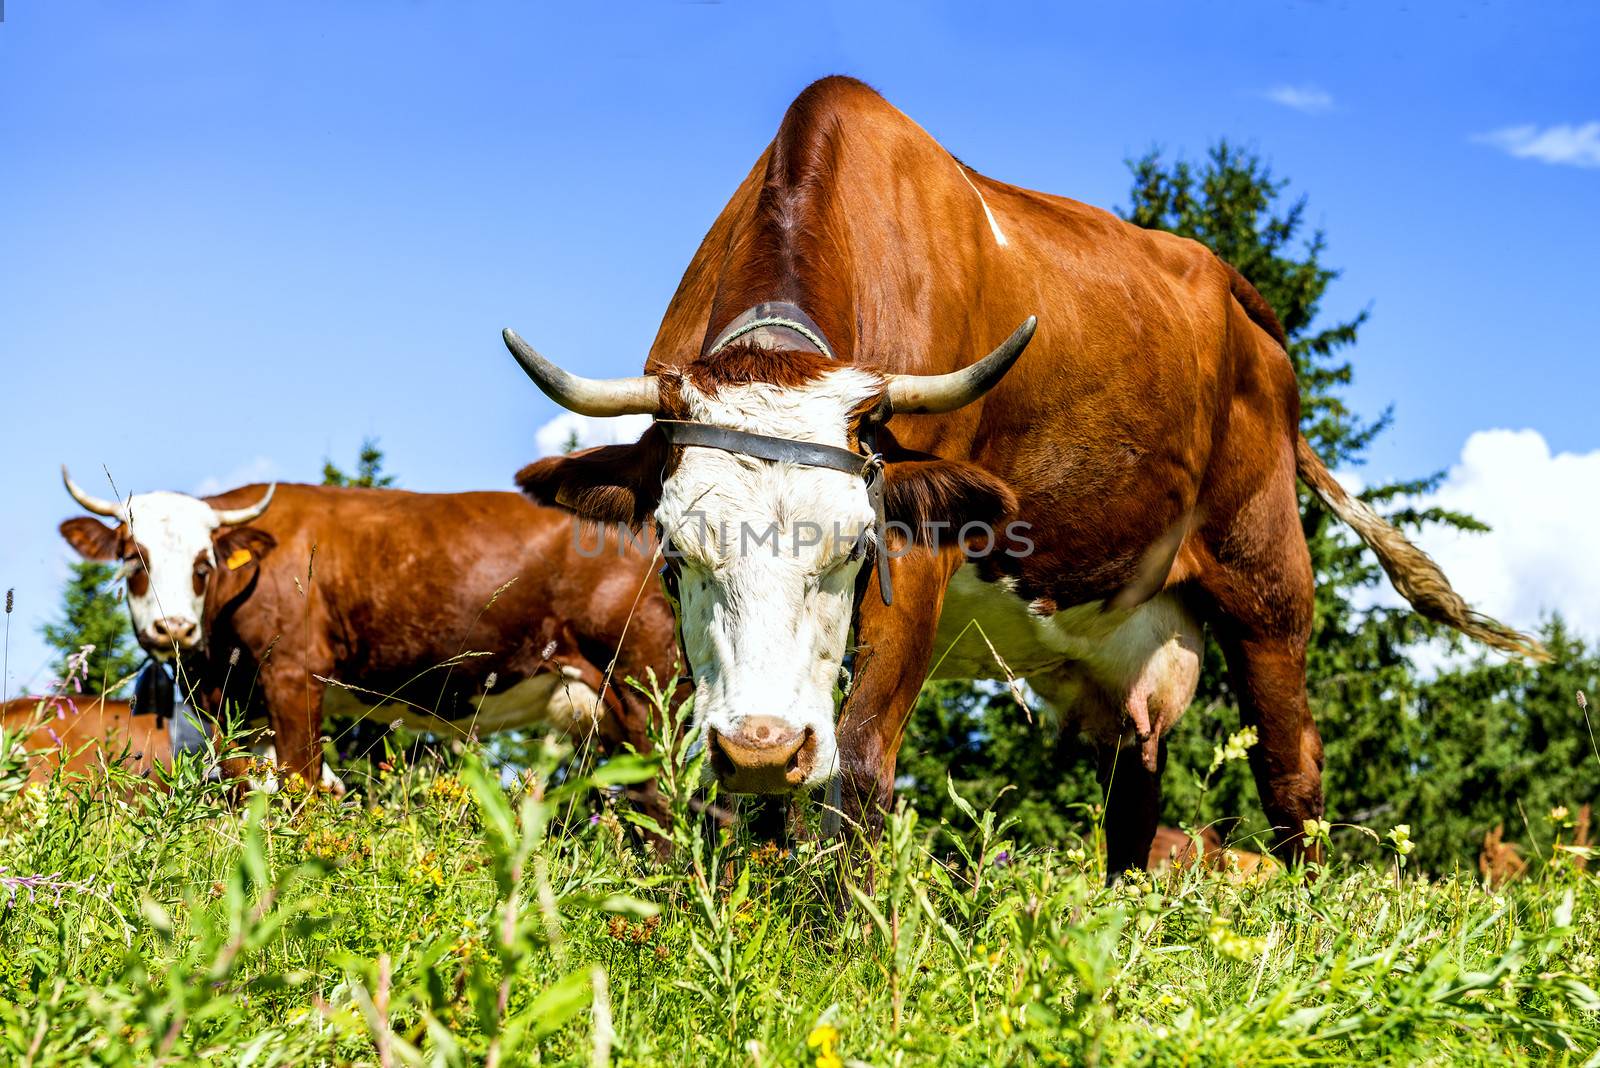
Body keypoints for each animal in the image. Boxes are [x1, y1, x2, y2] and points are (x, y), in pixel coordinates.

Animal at [56, 470, 678, 789]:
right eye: (132, 558)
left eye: (203, 564)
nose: (173, 627)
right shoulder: (234, 706)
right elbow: (245, 789)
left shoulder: (293, 678)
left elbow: (302, 784)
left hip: (649, 686)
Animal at [496, 79, 1536, 869]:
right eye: (676, 553)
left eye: (856, 549)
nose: (762, 746)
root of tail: (1233, 293)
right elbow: (743, 802)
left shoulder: (916, 564)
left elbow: (859, 773)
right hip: (1130, 638)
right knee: (1134, 797)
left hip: (1267, 577)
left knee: (1293, 778)